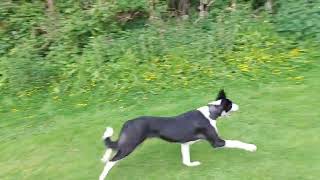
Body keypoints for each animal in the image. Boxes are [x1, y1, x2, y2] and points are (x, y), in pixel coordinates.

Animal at [99, 90, 256, 180]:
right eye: (230, 104)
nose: (239, 106)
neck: (211, 113)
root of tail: (127, 123)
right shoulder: (217, 142)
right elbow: (236, 142)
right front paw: (251, 147)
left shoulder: (185, 143)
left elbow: (186, 161)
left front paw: (193, 165)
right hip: (129, 145)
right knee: (111, 161)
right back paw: (102, 175)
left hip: (126, 143)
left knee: (111, 148)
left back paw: (103, 157)